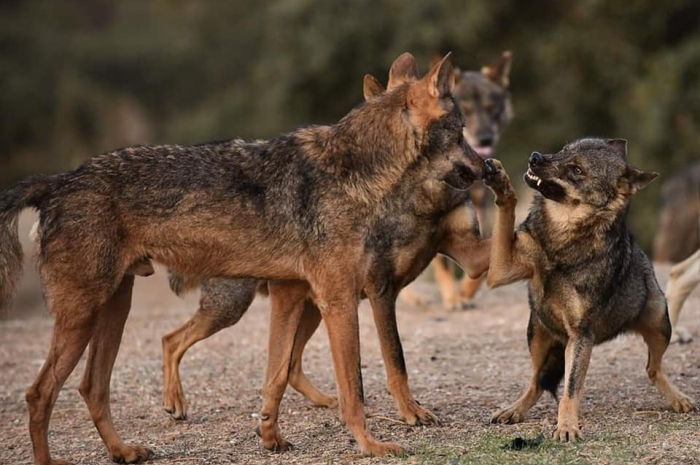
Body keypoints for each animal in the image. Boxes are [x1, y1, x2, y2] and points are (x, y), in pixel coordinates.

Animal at [0, 52, 484, 463]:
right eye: (461, 132)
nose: (487, 167)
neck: (353, 170)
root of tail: (57, 180)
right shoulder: (341, 300)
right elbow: (357, 388)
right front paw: (371, 444)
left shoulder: (291, 295)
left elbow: (275, 377)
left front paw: (270, 438)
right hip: (89, 316)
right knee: (39, 393)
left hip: (116, 311)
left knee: (91, 387)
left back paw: (124, 451)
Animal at [482, 139, 695, 441]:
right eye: (562, 150)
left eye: (577, 170)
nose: (534, 157)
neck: (562, 239)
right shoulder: (500, 270)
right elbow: (506, 209)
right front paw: (500, 182)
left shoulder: (581, 335)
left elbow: (571, 390)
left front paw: (567, 427)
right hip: (536, 334)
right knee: (536, 382)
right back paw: (514, 410)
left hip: (659, 326)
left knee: (653, 369)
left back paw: (679, 399)